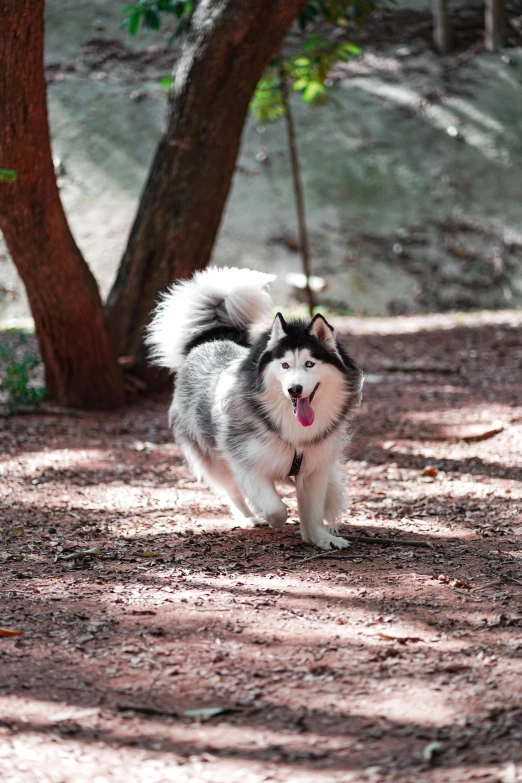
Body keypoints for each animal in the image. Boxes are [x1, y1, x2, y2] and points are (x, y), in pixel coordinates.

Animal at [144, 270, 360, 552]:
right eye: (285, 365)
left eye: (310, 364)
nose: (294, 390)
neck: (290, 426)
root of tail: (209, 340)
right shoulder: (246, 464)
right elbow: (277, 508)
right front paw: (277, 520)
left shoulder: (315, 467)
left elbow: (312, 509)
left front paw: (320, 537)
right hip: (214, 459)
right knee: (231, 491)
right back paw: (248, 517)